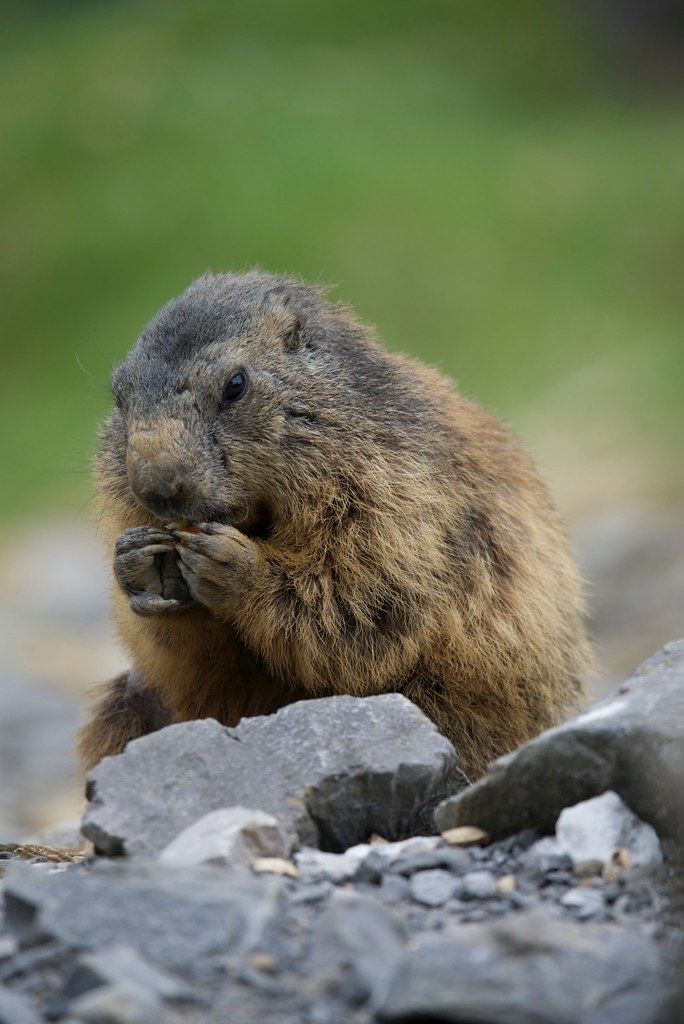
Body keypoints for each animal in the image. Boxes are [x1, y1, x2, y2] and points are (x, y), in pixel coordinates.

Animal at [78, 269, 593, 780]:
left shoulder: (394, 492)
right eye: (119, 396)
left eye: (235, 385)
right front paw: (144, 565)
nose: (157, 487)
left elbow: (363, 597)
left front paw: (236, 566)